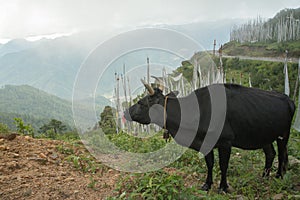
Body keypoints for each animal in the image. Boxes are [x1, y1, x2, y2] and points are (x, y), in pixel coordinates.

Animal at [124, 81, 296, 192]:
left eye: (140, 102)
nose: (125, 112)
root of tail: (288, 98)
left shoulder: (226, 142)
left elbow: (223, 165)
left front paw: (223, 187)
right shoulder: (205, 143)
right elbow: (210, 163)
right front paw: (207, 185)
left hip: (283, 134)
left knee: (281, 154)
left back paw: (278, 176)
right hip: (263, 135)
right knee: (270, 153)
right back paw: (264, 176)